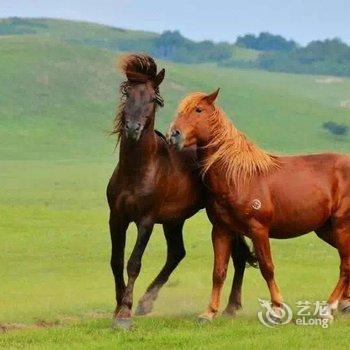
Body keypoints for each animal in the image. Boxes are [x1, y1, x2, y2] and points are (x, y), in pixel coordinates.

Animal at [106, 56, 254, 330]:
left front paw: (124, 313)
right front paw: (119, 306)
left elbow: (133, 263)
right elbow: (116, 260)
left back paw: (231, 307)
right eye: (127, 93)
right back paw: (147, 302)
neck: (137, 169)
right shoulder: (117, 218)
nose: (132, 128)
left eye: (153, 99)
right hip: (174, 220)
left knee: (237, 255)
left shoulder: (146, 220)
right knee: (177, 252)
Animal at [170, 89, 350, 322]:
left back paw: (328, 309)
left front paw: (277, 309)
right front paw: (209, 313)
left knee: (345, 265)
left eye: (198, 110)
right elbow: (218, 272)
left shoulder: (258, 229)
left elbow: (267, 268)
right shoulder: (221, 230)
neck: (238, 176)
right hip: (326, 230)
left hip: (341, 226)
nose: (174, 135)